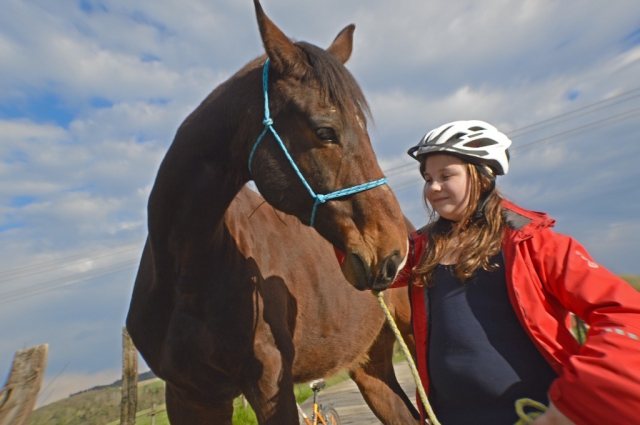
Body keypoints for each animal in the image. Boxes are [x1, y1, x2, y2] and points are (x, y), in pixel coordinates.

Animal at [125, 1, 420, 422]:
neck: (186, 276)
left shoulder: (269, 386)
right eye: (325, 131)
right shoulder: (189, 397)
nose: (394, 253)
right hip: (371, 368)